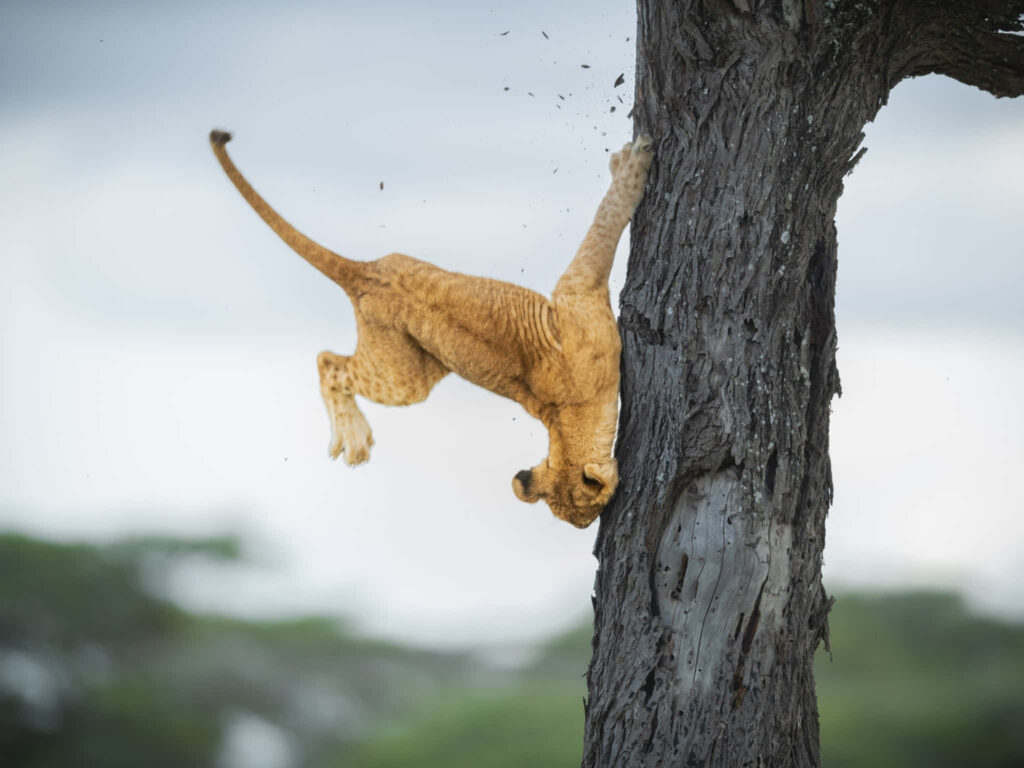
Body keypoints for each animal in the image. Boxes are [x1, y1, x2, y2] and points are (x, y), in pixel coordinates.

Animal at [210, 129, 653, 528]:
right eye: (587, 517)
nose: (586, 531)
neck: (563, 424)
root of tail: (361, 273)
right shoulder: (577, 292)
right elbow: (604, 227)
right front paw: (632, 165)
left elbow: (603, 225)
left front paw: (625, 162)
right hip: (403, 380)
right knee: (327, 362)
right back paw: (353, 439)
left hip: (427, 356)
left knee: (332, 357)